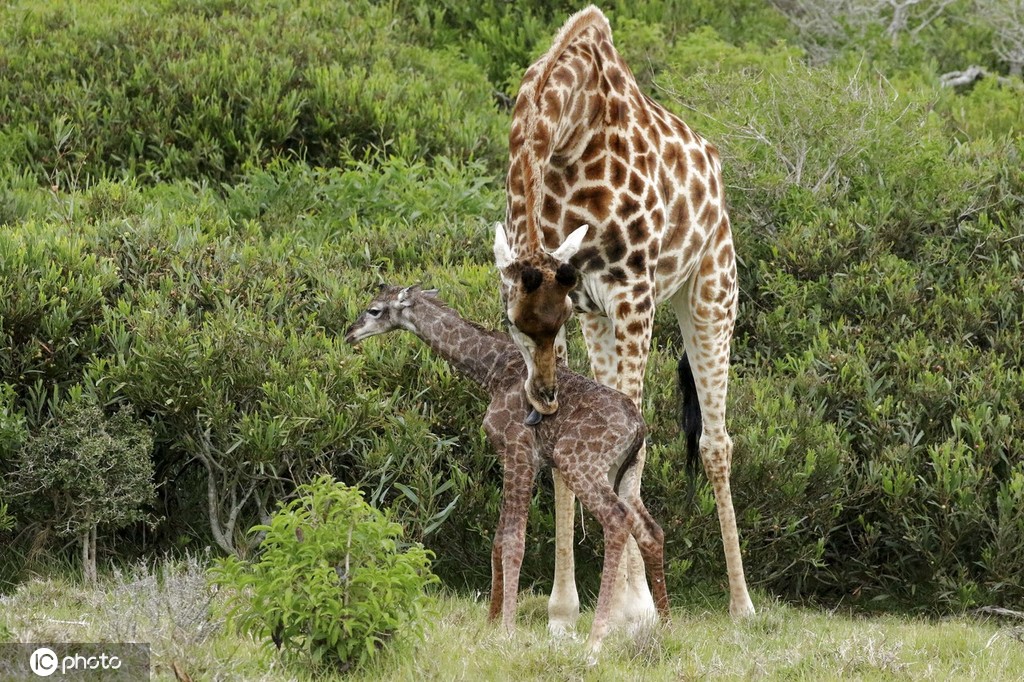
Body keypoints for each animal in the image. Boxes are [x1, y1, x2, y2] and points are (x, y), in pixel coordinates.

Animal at [346, 282, 671, 655]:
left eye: (373, 310)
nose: (350, 333)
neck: (492, 371)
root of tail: (638, 427)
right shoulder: (508, 455)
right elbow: (499, 540)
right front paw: (489, 623)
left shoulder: (519, 450)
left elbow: (515, 541)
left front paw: (508, 630)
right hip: (624, 471)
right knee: (650, 529)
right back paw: (665, 628)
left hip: (577, 461)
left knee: (617, 519)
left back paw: (595, 640)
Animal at [491, 6, 757, 630]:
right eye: (513, 324)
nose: (542, 397)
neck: (567, 136)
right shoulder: (585, 303)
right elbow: (566, 447)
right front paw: (564, 609)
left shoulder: (632, 290)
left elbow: (639, 431)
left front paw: (635, 607)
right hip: (610, 321)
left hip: (711, 291)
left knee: (716, 442)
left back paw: (742, 605)